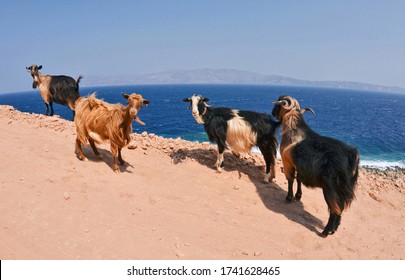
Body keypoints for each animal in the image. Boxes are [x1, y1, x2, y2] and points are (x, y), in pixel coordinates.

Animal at [270, 95, 358, 236]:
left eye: (278, 104)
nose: (272, 112)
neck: (293, 128)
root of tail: (352, 156)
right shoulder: (299, 167)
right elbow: (299, 179)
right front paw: (298, 196)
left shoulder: (287, 162)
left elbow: (290, 180)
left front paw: (289, 198)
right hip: (342, 189)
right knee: (340, 208)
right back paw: (333, 230)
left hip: (331, 188)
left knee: (334, 209)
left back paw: (325, 231)